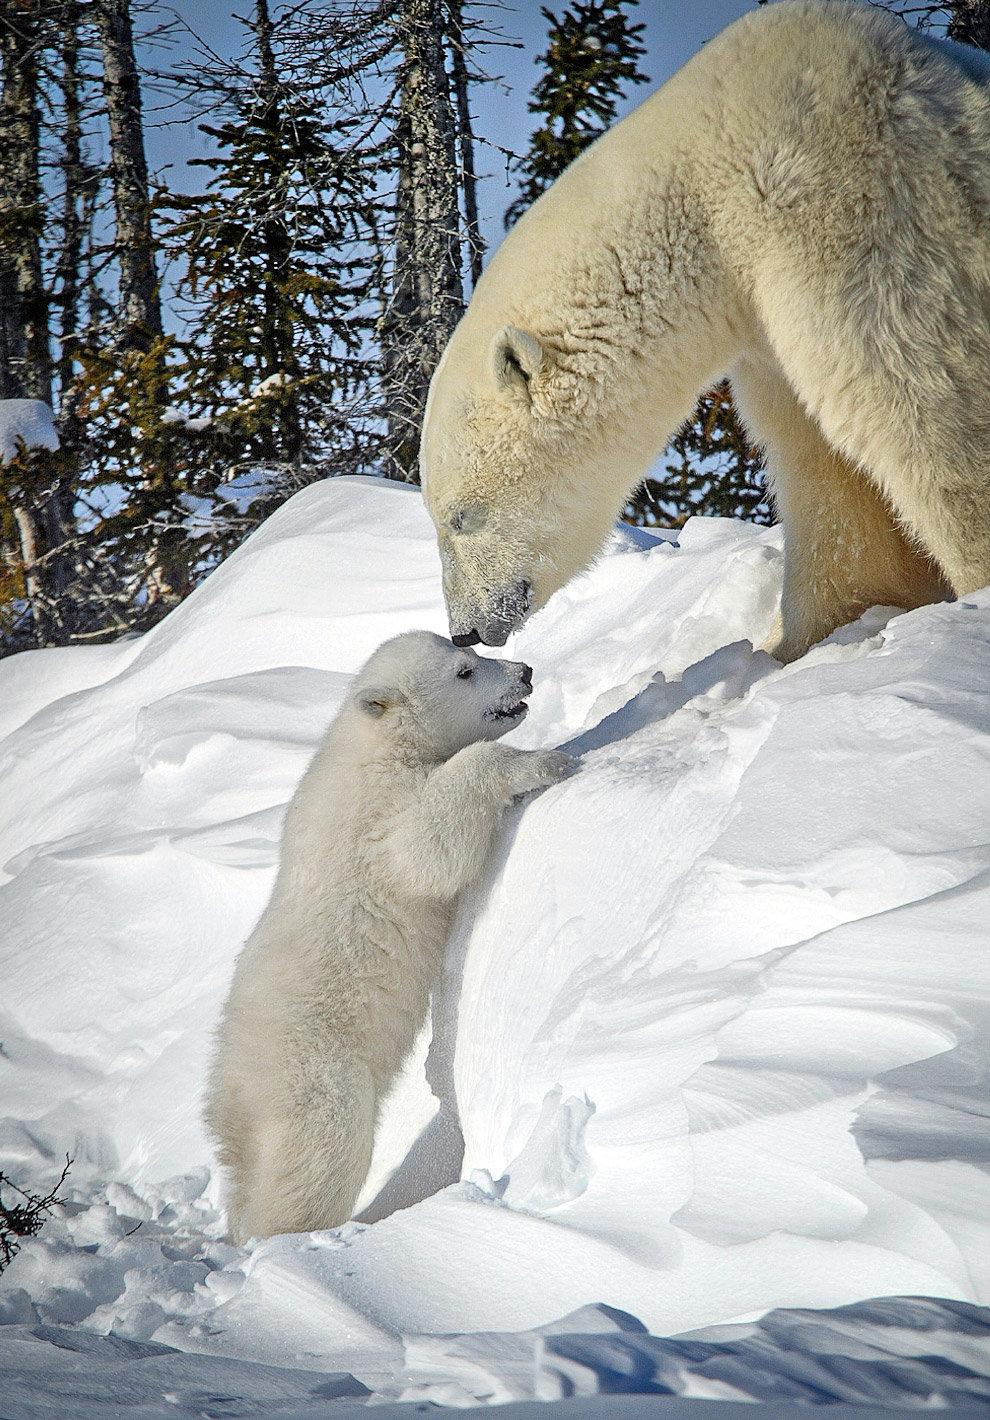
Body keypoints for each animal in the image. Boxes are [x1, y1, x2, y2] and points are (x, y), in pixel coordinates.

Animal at [204, 630, 573, 1243]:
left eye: (472, 655)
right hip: (318, 1076)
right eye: (465, 671)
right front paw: (547, 761)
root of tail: (232, 1092)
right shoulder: (377, 815)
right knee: (320, 1157)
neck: (375, 744)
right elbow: (426, 847)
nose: (523, 670)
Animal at [420, 0, 990, 663]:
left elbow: (926, 405)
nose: (465, 631)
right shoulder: (767, 324)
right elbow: (821, 465)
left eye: (461, 517)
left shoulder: (859, 216)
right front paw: (800, 640)